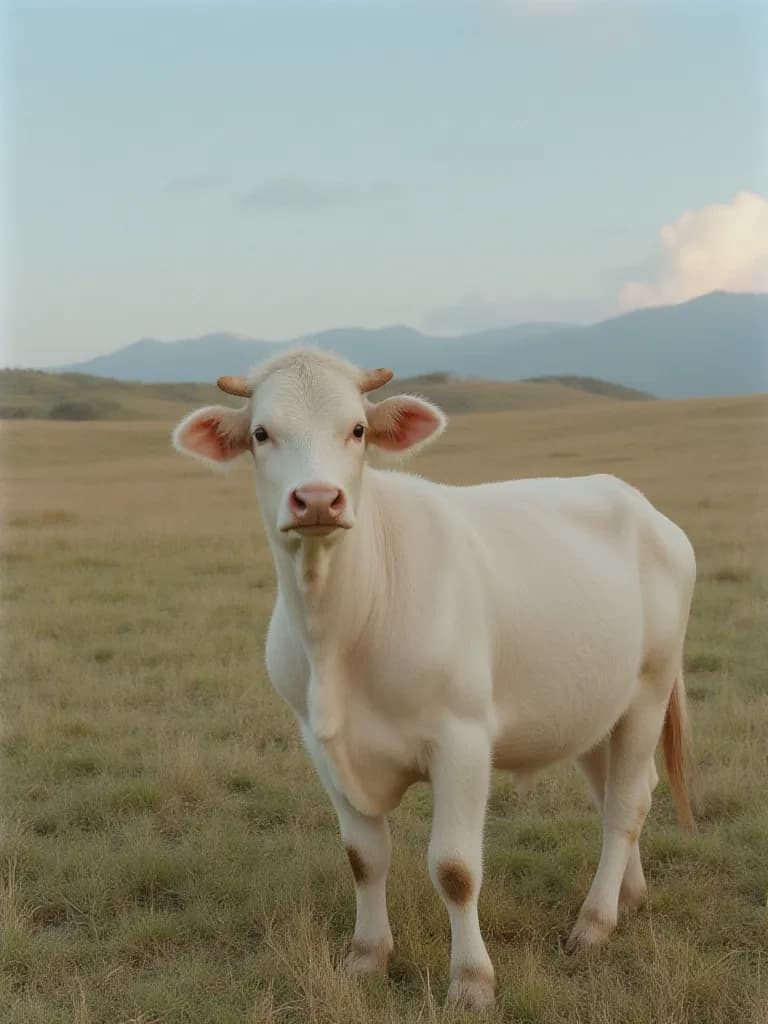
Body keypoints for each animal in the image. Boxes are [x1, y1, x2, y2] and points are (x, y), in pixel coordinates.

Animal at [172, 346, 696, 1010]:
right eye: (262, 433)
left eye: (358, 429)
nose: (316, 499)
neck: (339, 633)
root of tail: (640, 504)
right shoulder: (320, 745)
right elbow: (364, 858)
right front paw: (366, 957)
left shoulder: (463, 739)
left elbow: (455, 869)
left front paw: (471, 981)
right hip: (595, 706)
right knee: (619, 794)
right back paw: (629, 896)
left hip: (650, 688)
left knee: (627, 802)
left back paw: (595, 922)